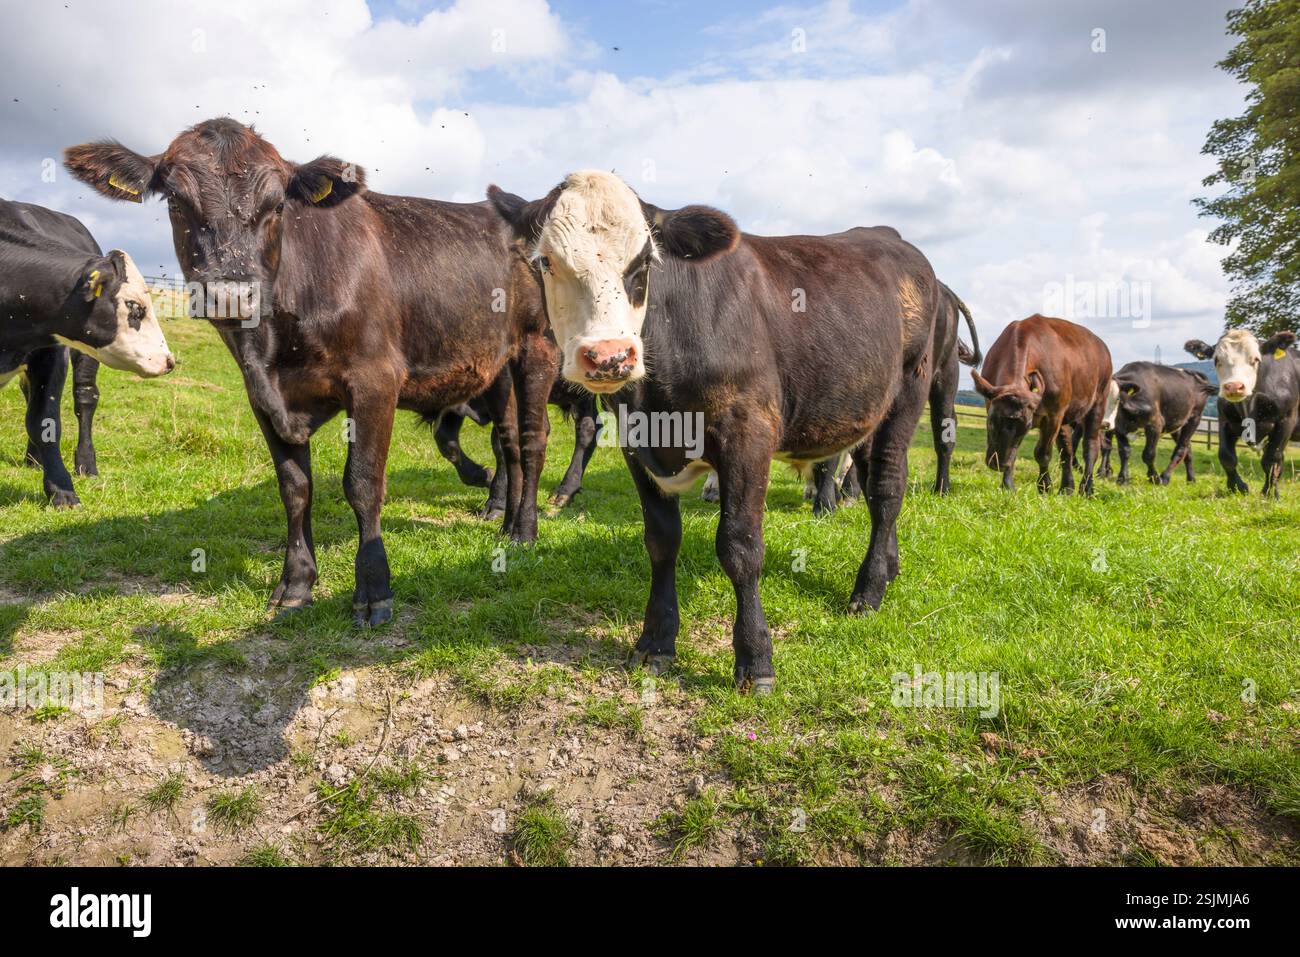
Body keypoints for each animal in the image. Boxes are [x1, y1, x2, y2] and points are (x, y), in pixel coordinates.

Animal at [1, 197, 174, 506]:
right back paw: (33, 458)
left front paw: (61, 489)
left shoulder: (52, 354)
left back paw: (85, 463)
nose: (168, 360)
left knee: (85, 398)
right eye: (135, 306)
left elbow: (44, 421)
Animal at [64, 119, 556, 627]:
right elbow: (295, 487)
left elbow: (362, 484)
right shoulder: (262, 395)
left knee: (533, 440)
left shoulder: (375, 380)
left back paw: (525, 530)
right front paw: (297, 583)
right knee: (509, 442)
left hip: (538, 345)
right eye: (176, 202)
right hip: (497, 367)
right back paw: (504, 519)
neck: (273, 345)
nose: (232, 294)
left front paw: (373, 590)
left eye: (278, 204)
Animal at [489, 170, 944, 693]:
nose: (608, 355)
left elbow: (740, 546)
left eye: (645, 262)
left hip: (907, 394)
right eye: (546, 261)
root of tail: (889, 237)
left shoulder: (748, 431)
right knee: (872, 485)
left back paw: (868, 591)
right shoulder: (635, 442)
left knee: (888, 488)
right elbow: (661, 540)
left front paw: (755, 658)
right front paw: (656, 641)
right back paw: (889, 568)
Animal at [971, 314, 1112, 495]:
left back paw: (1086, 488)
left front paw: (1044, 486)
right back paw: (1067, 487)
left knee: (1091, 447)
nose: (998, 464)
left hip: (1098, 402)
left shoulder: (1053, 415)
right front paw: (1008, 485)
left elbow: (1042, 453)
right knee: (1067, 449)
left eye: (1026, 428)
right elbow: (1015, 452)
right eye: (991, 421)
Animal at [1185, 329, 1300, 497]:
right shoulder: (1225, 421)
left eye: (1256, 359)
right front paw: (1237, 487)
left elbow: (1271, 458)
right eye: (1217, 359)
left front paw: (1270, 493)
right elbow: (1226, 456)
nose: (1234, 386)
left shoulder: (1286, 420)